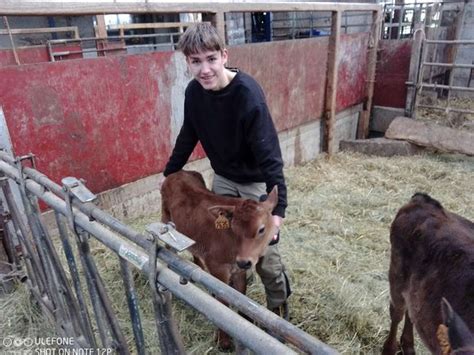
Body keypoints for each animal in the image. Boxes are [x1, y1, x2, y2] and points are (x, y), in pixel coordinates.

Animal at [161, 170, 278, 350]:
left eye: (261, 229)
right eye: (234, 228)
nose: (244, 261)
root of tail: (177, 172)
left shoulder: (238, 269)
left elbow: (240, 295)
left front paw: (245, 321)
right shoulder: (218, 266)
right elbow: (223, 300)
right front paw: (223, 341)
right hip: (165, 217)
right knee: (168, 246)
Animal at [384, 195, 474, 355]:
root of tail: (425, 200)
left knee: (411, 311)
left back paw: (408, 345)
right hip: (397, 274)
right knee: (397, 312)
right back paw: (389, 348)